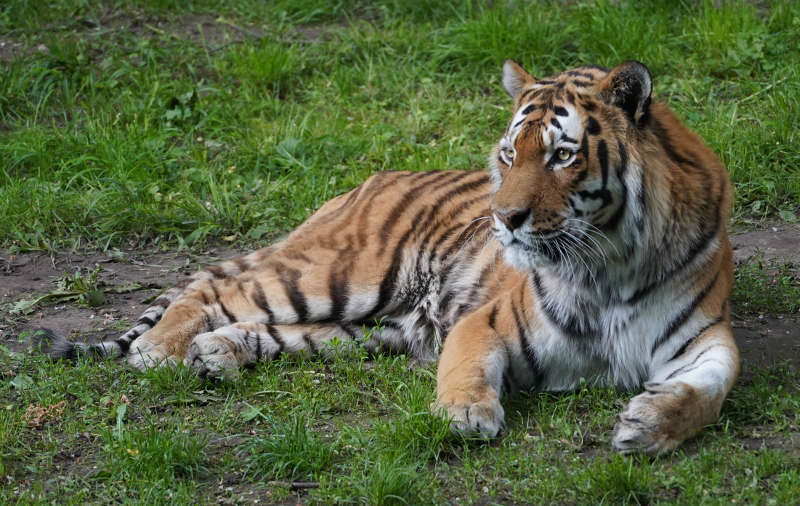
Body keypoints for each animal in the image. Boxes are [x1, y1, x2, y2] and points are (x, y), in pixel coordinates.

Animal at [36, 59, 736, 454]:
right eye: (511, 155)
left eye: (563, 155)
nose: (504, 218)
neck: (611, 264)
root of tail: (361, 183)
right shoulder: (488, 321)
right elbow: (466, 366)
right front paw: (465, 414)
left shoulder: (704, 338)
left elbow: (711, 389)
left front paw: (648, 426)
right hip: (347, 276)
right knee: (215, 290)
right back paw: (161, 351)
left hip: (372, 328)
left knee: (270, 326)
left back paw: (217, 353)